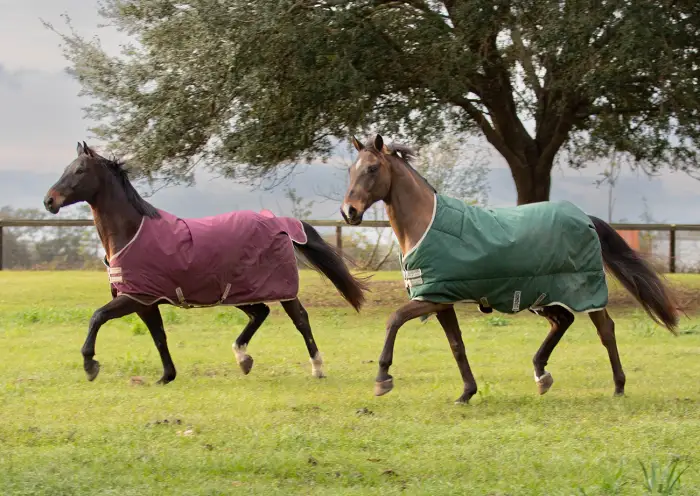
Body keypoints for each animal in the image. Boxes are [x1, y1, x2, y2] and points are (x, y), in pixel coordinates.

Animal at [43, 142, 368, 384]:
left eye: (80, 170)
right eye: (65, 169)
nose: (49, 201)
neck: (131, 233)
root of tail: (280, 223)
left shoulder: (134, 297)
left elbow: (97, 317)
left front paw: (90, 365)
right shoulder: (145, 302)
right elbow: (159, 336)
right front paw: (167, 376)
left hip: (280, 288)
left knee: (299, 318)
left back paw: (317, 367)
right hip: (237, 292)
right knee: (260, 313)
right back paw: (243, 358)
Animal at [341, 134, 679, 404]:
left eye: (372, 169)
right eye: (350, 170)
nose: (348, 212)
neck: (427, 225)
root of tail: (586, 218)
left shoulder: (431, 298)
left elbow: (394, 320)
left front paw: (382, 379)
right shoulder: (441, 299)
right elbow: (456, 345)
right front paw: (466, 393)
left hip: (584, 291)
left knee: (605, 330)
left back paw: (618, 387)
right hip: (543, 294)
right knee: (563, 321)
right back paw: (542, 375)